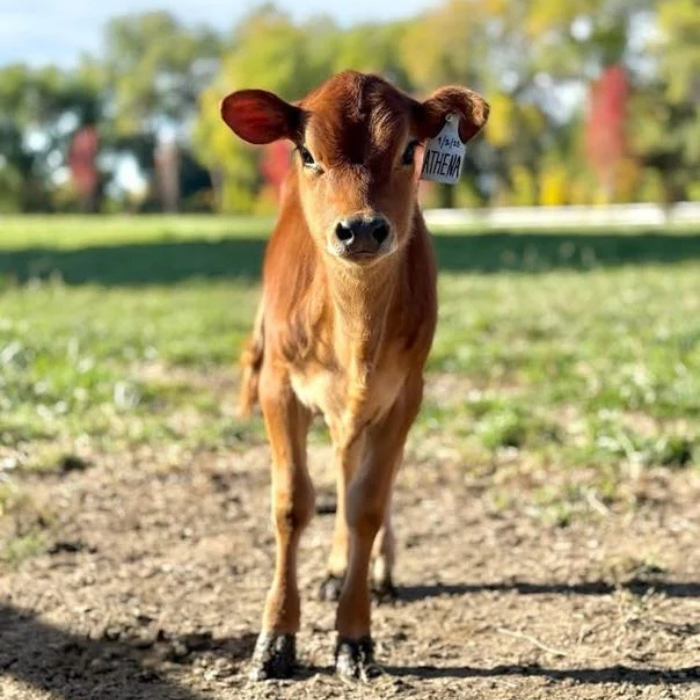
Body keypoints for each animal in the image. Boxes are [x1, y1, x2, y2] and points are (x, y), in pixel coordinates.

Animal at [221, 71, 489, 681]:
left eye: (410, 150)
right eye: (306, 154)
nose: (362, 229)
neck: (353, 330)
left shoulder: (405, 392)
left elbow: (367, 502)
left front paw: (355, 635)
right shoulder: (278, 385)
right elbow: (292, 503)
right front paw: (276, 637)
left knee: (363, 480)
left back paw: (369, 571)